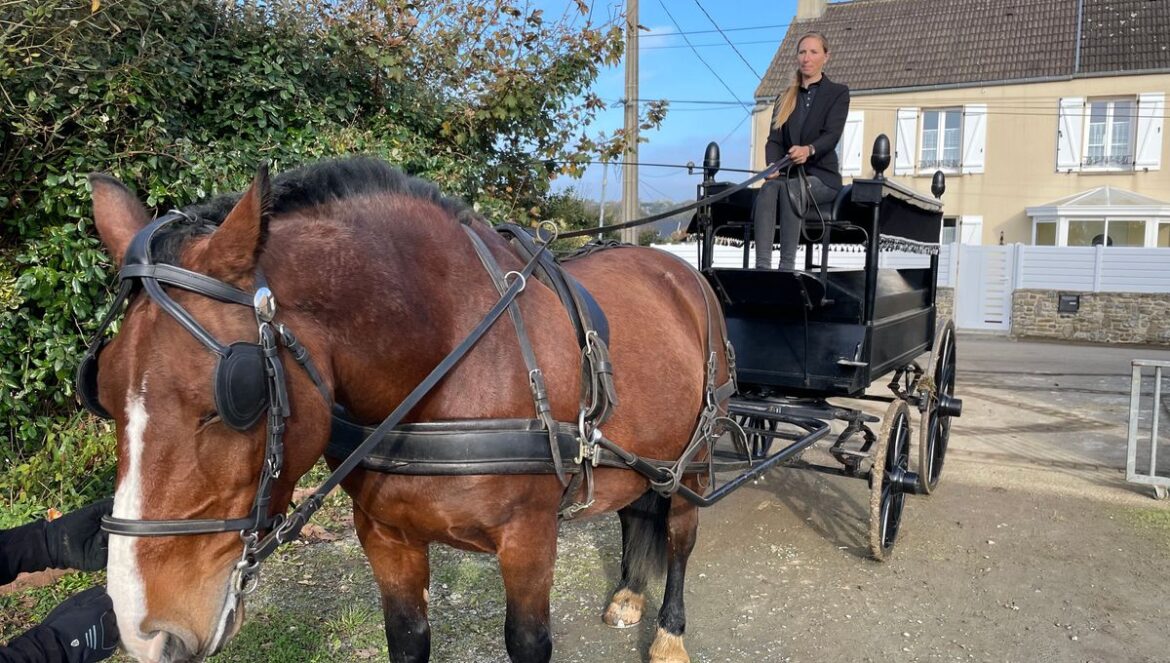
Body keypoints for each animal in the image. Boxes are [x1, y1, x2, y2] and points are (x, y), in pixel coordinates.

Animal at [88, 157, 730, 659]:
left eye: (233, 398)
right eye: (101, 392)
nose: (145, 632)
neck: (446, 359)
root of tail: (677, 269)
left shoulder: (529, 539)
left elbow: (527, 642)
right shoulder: (385, 536)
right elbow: (407, 638)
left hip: (696, 458)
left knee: (680, 536)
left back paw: (669, 634)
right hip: (644, 456)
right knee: (637, 508)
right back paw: (628, 594)